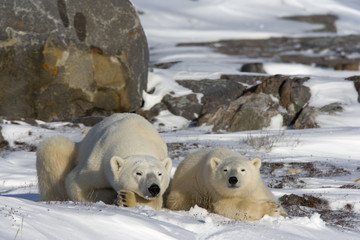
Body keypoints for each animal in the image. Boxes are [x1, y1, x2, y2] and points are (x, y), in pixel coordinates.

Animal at [36, 113, 172, 209]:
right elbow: (76, 185)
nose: (154, 188)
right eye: (138, 173)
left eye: (160, 174)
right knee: (53, 148)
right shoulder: (98, 162)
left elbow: (157, 201)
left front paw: (126, 199)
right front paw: (115, 197)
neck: (136, 140)